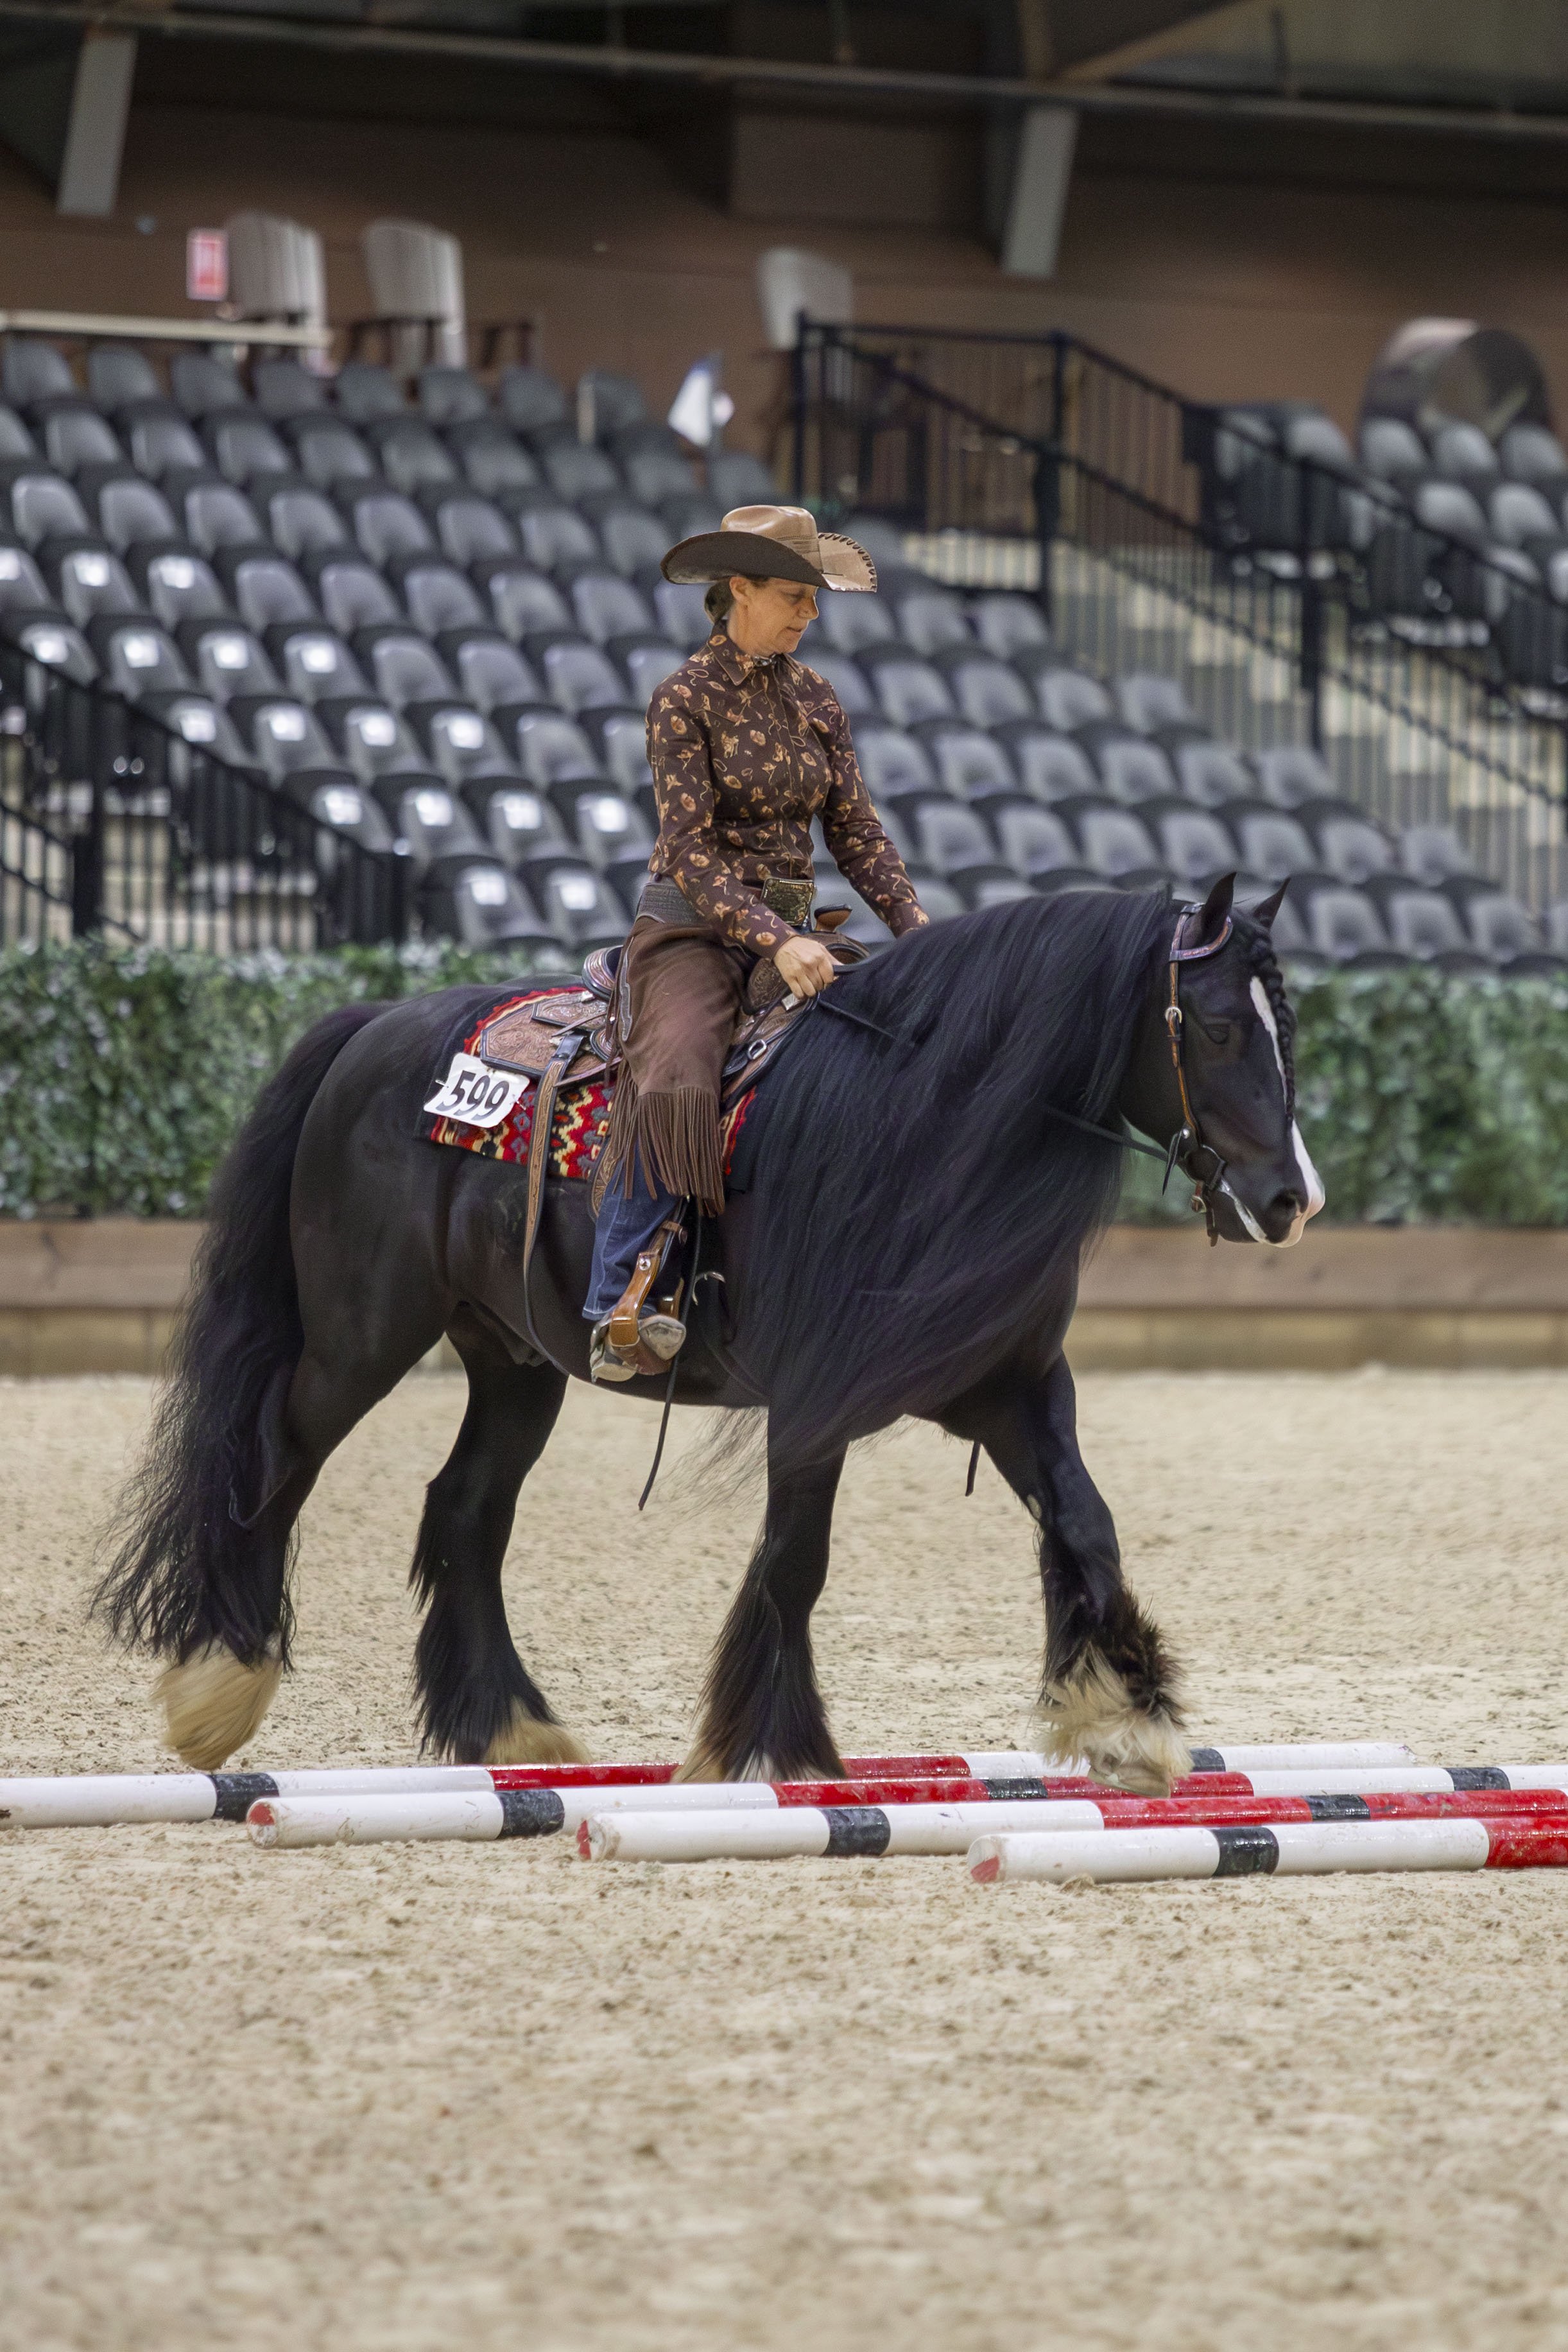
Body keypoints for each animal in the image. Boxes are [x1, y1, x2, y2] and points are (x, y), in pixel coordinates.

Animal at [95, 873, 1323, 1798]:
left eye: (1289, 1028)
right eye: (1217, 1026)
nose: (1289, 1200)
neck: (925, 1120)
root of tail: (371, 1029)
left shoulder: (1009, 1385)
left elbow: (1083, 1519)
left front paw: (1119, 1714)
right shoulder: (813, 1403)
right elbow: (795, 1559)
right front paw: (768, 1744)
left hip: (517, 1360)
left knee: (463, 1512)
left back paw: (510, 1728)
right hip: (362, 1334)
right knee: (273, 1459)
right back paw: (219, 1685)